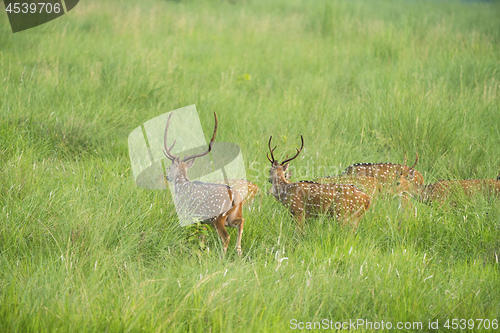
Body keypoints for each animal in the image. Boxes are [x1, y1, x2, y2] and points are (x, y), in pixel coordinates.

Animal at [163, 113, 245, 255]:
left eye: (169, 167)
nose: (167, 176)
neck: (181, 186)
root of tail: (234, 195)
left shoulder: (185, 213)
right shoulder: (201, 221)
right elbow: (201, 236)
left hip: (217, 217)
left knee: (226, 237)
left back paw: (222, 257)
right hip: (232, 216)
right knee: (241, 223)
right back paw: (239, 252)